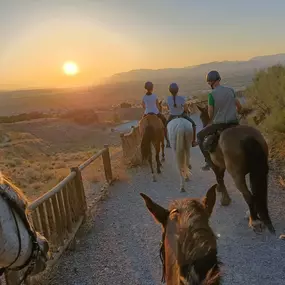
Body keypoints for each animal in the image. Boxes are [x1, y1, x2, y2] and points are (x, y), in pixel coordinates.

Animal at [196, 104, 274, 233]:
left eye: (201, 116)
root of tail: (246, 137)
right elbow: (220, 178)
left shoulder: (216, 166)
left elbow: (219, 178)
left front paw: (224, 199)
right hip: (259, 172)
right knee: (256, 194)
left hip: (237, 176)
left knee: (248, 195)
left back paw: (254, 220)